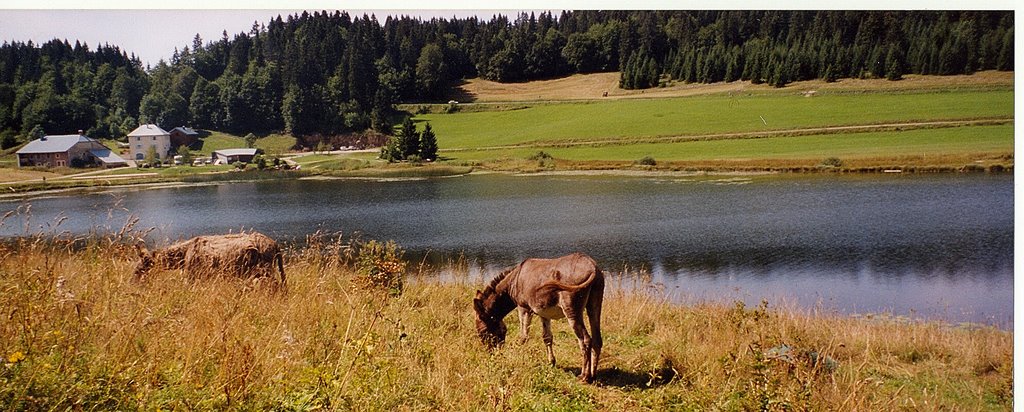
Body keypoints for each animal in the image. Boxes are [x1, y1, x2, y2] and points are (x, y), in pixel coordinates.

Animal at [473, 253, 602, 381]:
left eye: (482, 332)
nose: (492, 354)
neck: (513, 282)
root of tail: (592, 265)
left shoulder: (523, 308)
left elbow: (523, 336)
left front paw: (517, 356)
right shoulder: (543, 313)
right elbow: (547, 337)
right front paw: (551, 363)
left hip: (572, 311)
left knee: (585, 340)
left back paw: (584, 376)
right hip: (594, 306)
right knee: (597, 339)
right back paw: (593, 375)